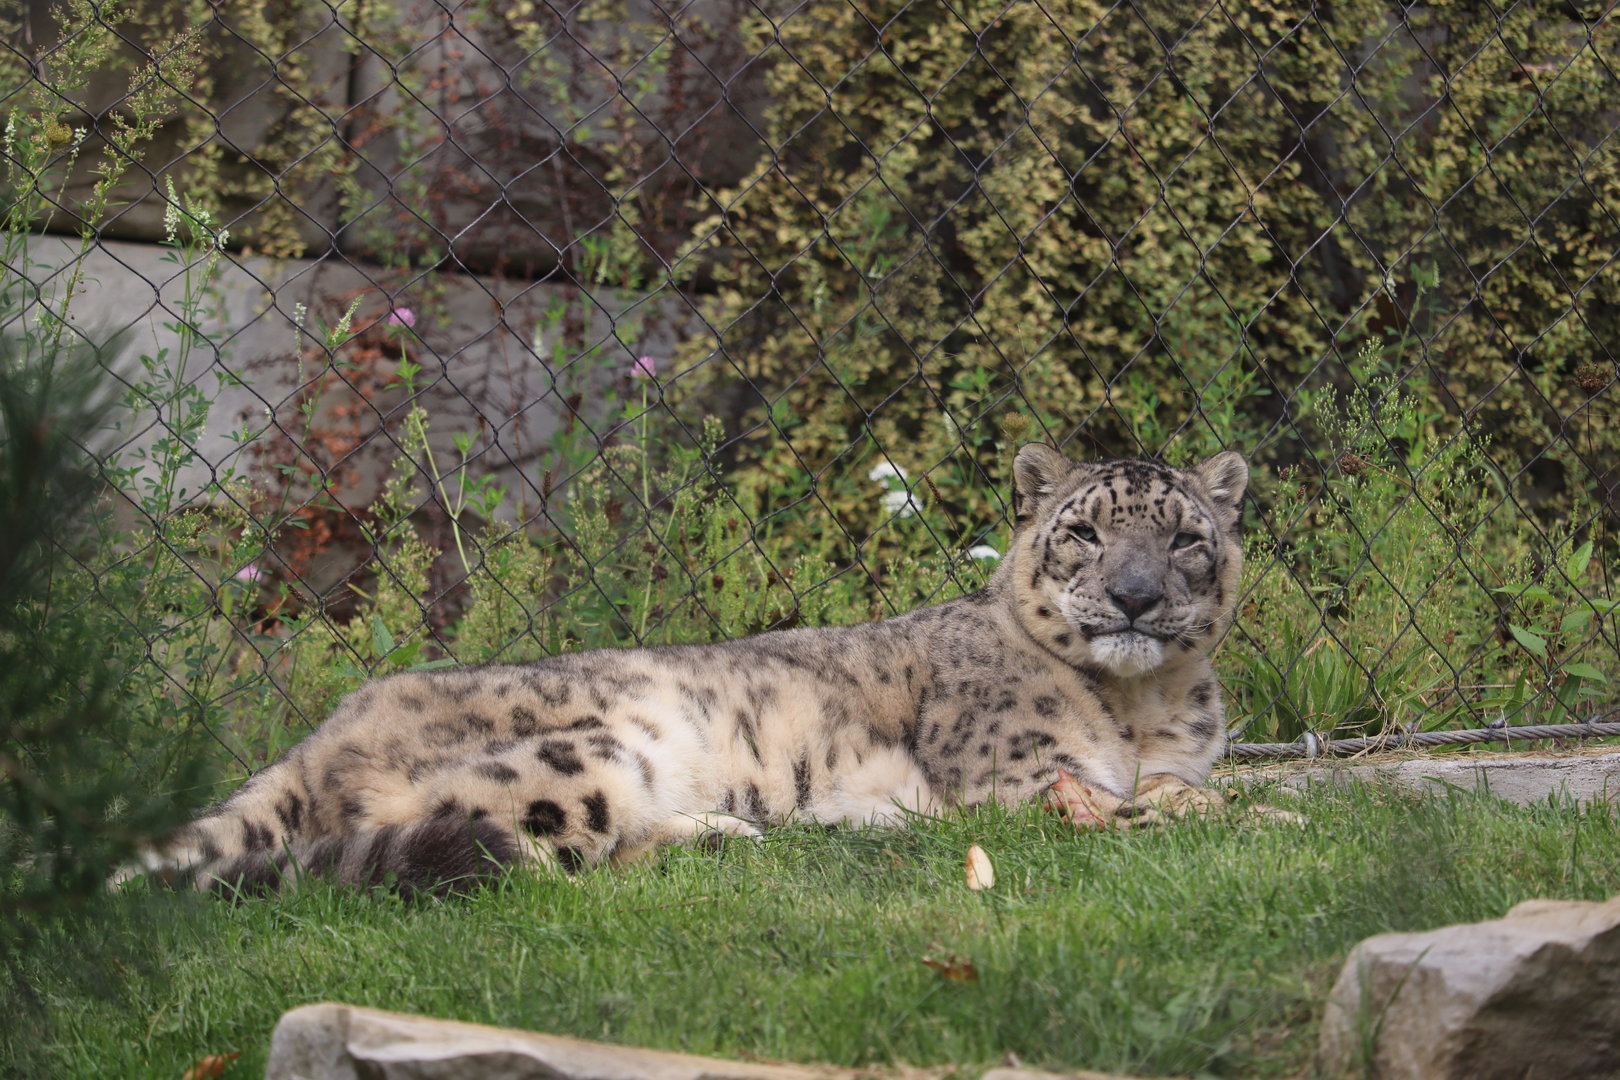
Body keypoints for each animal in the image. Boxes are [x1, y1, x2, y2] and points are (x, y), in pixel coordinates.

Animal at [118, 443, 1248, 895]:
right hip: (582, 755)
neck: (1145, 704)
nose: (1135, 597)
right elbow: (1166, 807)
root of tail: (329, 728)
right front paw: (1249, 815)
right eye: (1085, 532)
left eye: (1185, 538)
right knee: (520, 855)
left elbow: (1193, 790)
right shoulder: (1021, 780)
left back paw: (733, 835)